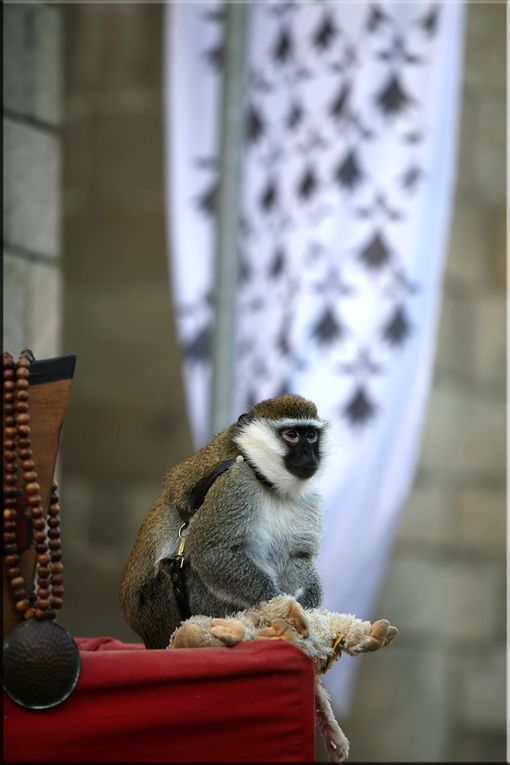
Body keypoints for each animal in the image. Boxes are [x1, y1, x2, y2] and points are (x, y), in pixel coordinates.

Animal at [120, 396, 332, 648]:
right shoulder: (234, 482)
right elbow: (213, 553)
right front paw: (279, 606)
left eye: (311, 435)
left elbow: (297, 556)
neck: (264, 478)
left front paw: (306, 604)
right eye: (291, 435)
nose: (310, 455)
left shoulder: (308, 498)